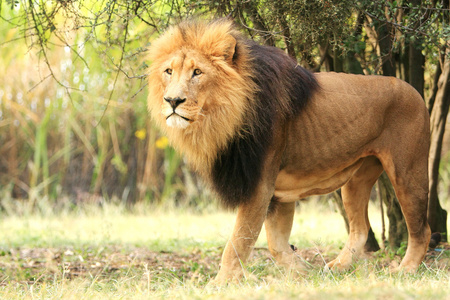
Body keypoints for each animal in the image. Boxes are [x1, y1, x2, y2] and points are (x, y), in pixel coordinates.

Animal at [146, 19, 430, 284]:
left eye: (197, 72)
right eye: (169, 71)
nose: (172, 101)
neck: (223, 118)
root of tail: (414, 90)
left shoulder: (260, 183)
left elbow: (238, 241)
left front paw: (221, 283)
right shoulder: (277, 194)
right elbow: (276, 244)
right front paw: (303, 273)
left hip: (407, 172)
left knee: (421, 230)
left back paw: (405, 270)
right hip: (356, 179)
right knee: (360, 229)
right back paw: (337, 267)